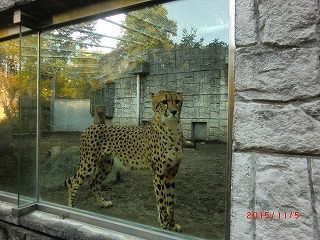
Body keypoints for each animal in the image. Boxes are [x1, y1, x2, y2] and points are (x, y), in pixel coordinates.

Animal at [65, 91, 182, 232]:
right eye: (164, 102)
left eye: (177, 101)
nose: (174, 111)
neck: (172, 129)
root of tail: (91, 127)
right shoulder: (158, 174)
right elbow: (162, 202)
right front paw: (164, 226)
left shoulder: (172, 172)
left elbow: (171, 201)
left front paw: (172, 224)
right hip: (89, 164)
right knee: (73, 183)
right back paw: (71, 208)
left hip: (105, 165)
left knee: (93, 183)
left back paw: (102, 203)